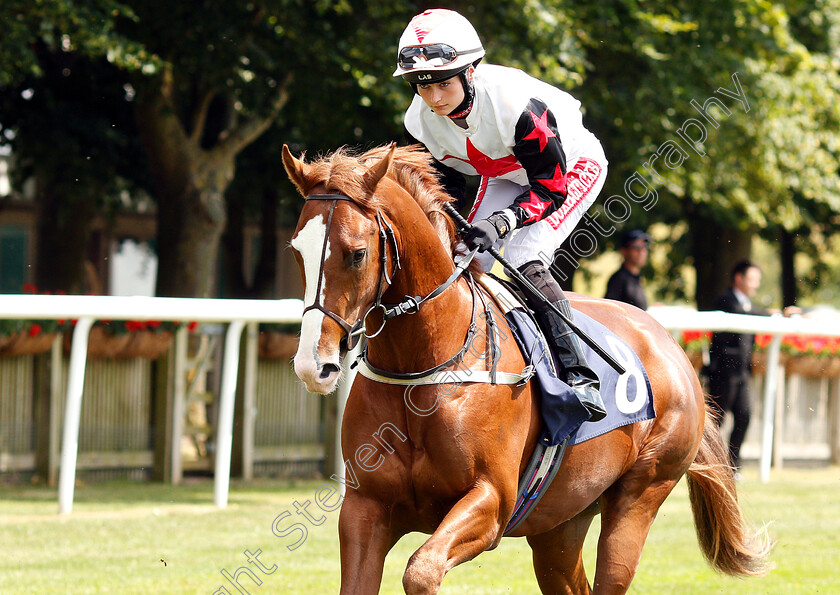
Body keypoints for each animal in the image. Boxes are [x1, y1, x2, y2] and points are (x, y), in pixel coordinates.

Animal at [286, 144, 772, 595]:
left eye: (356, 254)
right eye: (297, 251)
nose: (315, 364)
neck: (426, 365)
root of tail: (671, 346)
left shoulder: (492, 502)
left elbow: (421, 572)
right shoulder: (366, 507)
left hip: (642, 493)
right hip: (561, 521)